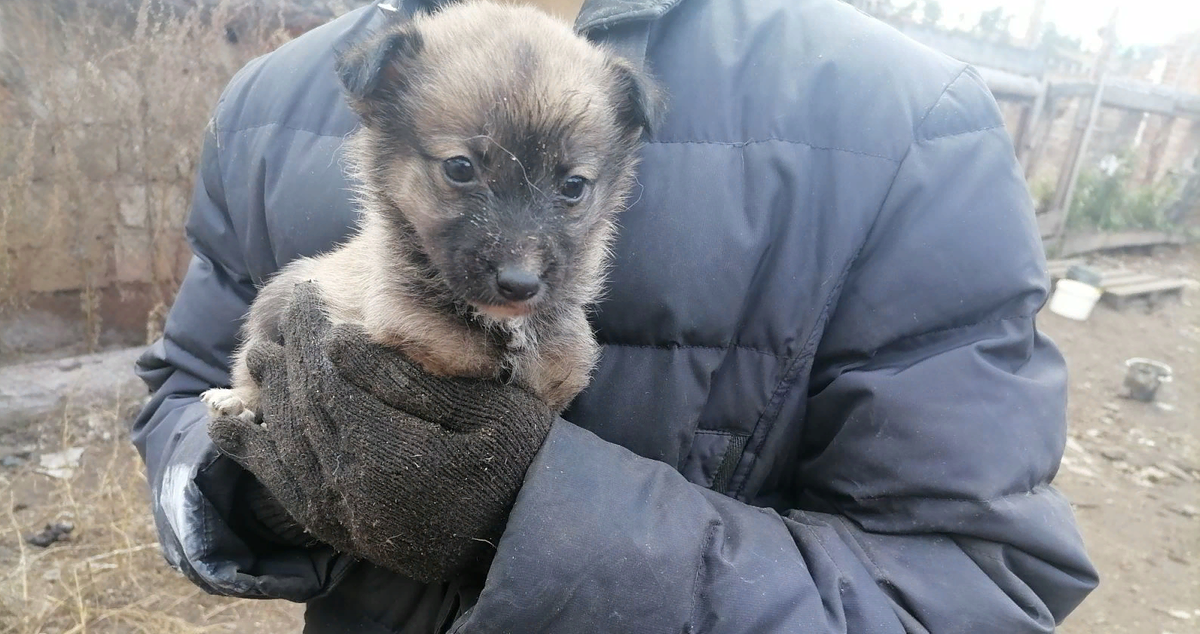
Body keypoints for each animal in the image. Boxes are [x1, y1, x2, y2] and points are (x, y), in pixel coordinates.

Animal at [201, 0, 662, 420]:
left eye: (573, 186)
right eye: (460, 168)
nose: (520, 283)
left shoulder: (554, 376)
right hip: (278, 296)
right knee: (251, 358)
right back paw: (235, 400)